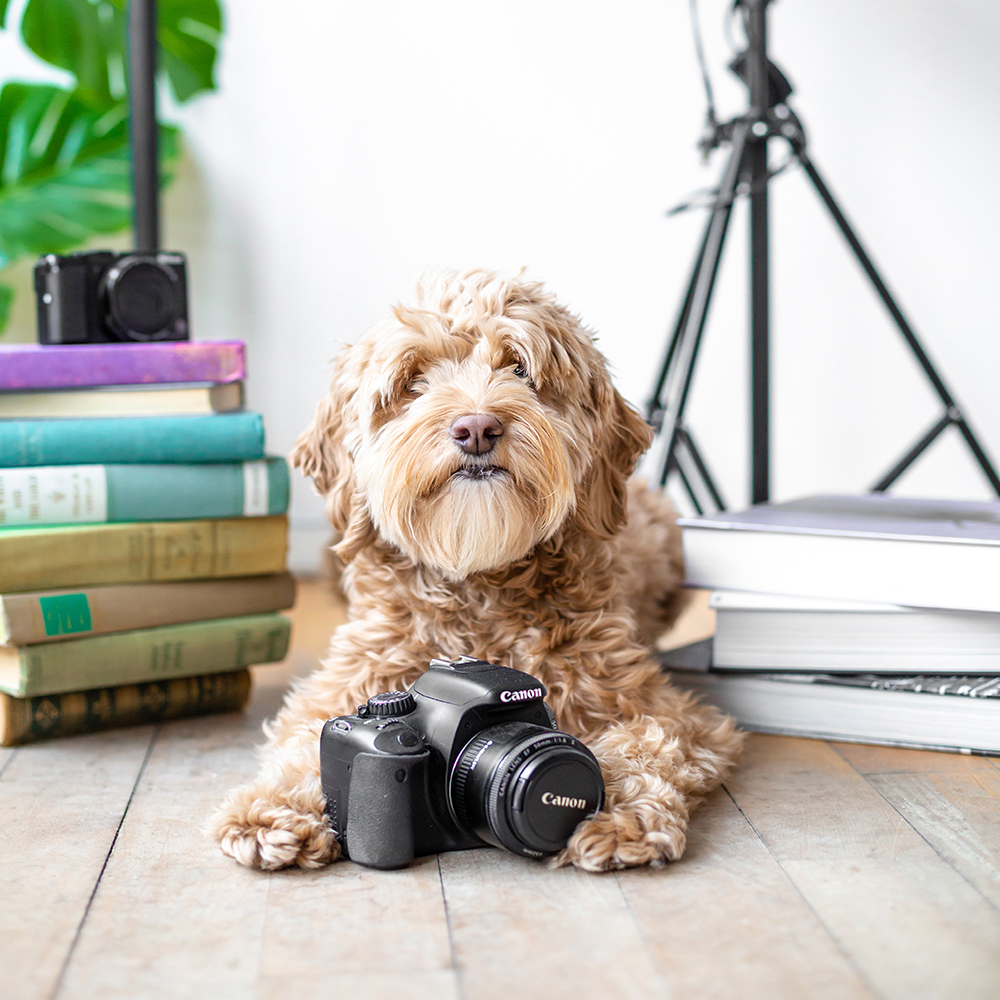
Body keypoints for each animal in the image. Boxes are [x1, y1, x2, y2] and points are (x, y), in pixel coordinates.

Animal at [211, 270, 744, 872]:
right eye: (412, 382)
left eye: (519, 369)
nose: (477, 427)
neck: (477, 585)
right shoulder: (338, 690)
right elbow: (305, 740)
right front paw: (273, 808)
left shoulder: (669, 711)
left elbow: (650, 741)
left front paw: (615, 813)